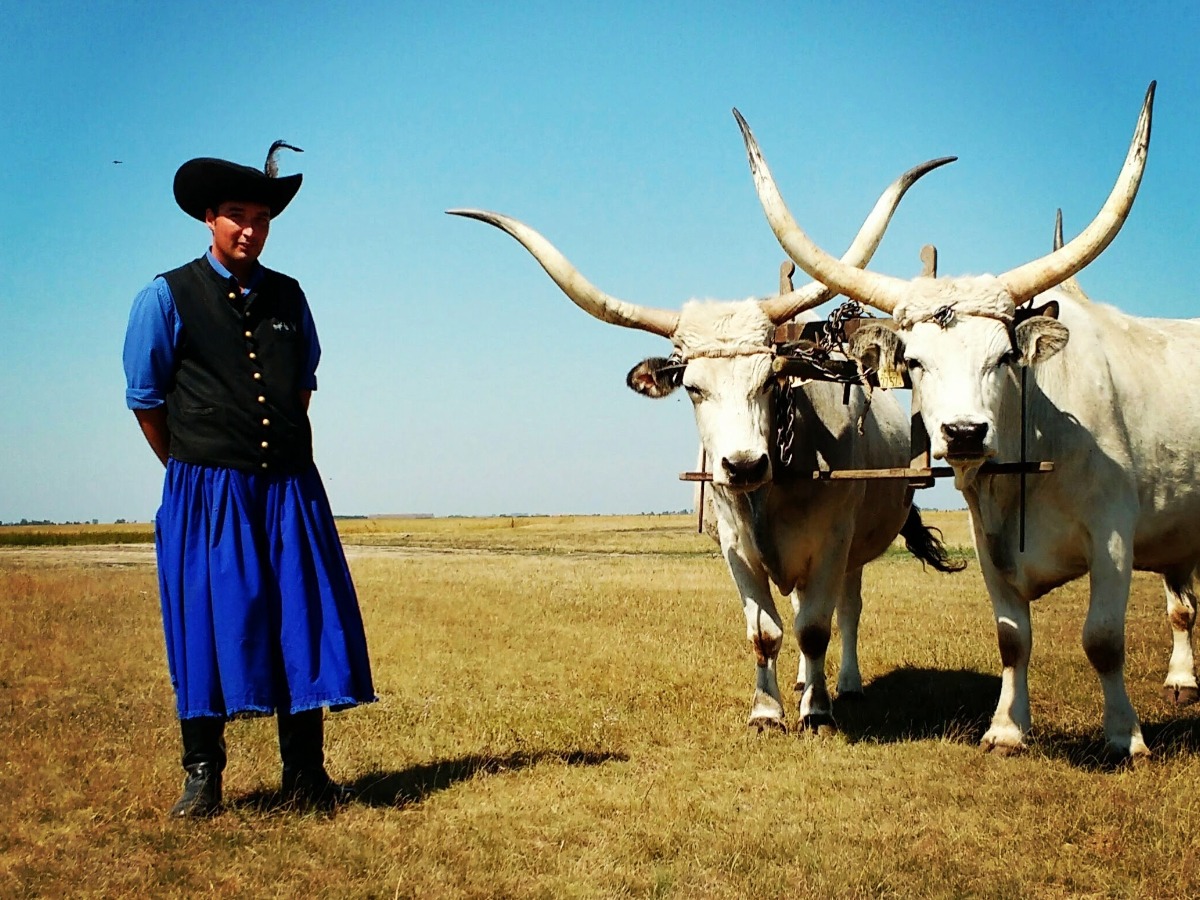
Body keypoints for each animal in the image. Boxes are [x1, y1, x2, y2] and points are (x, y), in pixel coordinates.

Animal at [448, 156, 964, 734]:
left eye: (770, 378)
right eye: (693, 387)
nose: (742, 465)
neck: (776, 480)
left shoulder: (832, 541)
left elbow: (814, 628)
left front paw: (817, 712)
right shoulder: (734, 546)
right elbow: (765, 632)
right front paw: (767, 711)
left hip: (856, 546)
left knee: (846, 609)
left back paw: (843, 684)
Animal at [737, 83, 1186, 759]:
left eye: (1003, 357)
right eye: (916, 361)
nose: (965, 434)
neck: (1031, 455)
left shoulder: (1114, 534)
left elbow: (1103, 639)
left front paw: (1123, 738)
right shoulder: (987, 538)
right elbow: (1012, 636)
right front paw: (1006, 730)